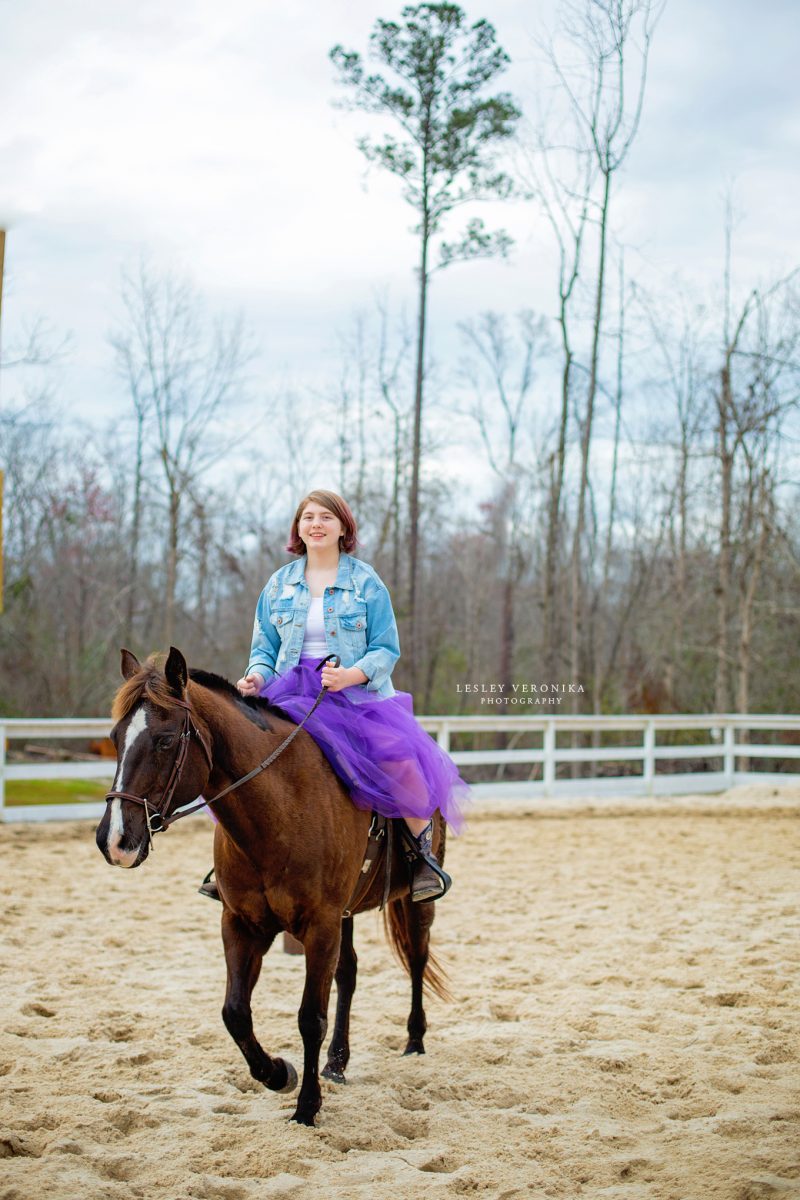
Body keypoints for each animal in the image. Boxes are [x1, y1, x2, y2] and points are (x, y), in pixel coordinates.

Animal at [94, 648, 450, 1123]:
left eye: (166, 740)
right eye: (115, 737)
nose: (113, 840)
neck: (282, 806)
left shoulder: (319, 927)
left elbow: (310, 1018)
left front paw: (307, 1107)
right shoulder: (242, 924)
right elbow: (235, 1013)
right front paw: (278, 1073)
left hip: (412, 904)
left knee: (415, 959)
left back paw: (413, 1040)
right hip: (346, 912)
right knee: (349, 974)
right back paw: (337, 1063)